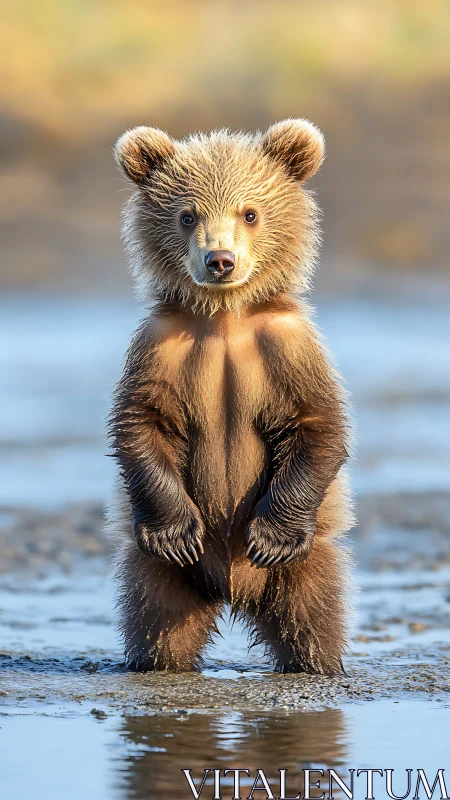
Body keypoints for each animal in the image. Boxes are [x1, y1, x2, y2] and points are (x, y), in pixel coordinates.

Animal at [109, 119, 353, 675]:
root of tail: (234, 592)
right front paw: (176, 532)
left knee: (313, 621)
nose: (219, 259)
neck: (224, 318)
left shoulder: (288, 349)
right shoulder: (161, 348)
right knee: (160, 624)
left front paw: (272, 536)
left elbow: (318, 425)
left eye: (250, 212)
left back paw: (319, 664)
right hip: (163, 576)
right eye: (186, 214)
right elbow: (141, 422)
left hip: (308, 566)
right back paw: (155, 664)